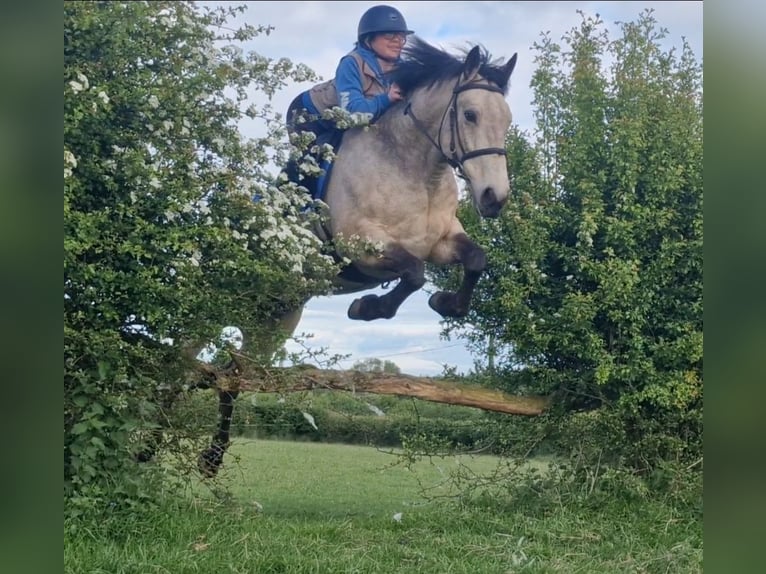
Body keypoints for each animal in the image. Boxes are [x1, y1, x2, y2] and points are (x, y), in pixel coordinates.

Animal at [197, 37, 518, 477]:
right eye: (470, 115)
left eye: (507, 120)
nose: (494, 199)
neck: (415, 170)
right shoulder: (362, 246)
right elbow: (413, 273)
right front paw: (365, 308)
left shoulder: (442, 242)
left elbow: (474, 261)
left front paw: (444, 302)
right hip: (211, 307)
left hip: (272, 321)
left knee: (233, 376)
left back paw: (210, 458)